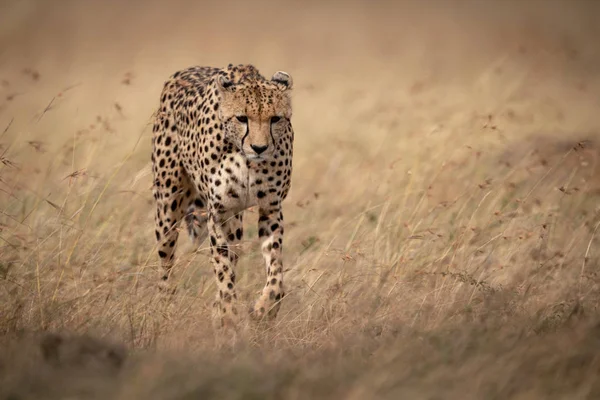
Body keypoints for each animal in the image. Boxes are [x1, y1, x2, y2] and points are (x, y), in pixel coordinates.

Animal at [151, 64, 294, 326]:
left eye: (275, 119)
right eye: (242, 118)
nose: (259, 148)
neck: (247, 160)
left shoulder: (270, 208)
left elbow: (275, 269)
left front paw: (264, 309)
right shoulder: (218, 213)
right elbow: (223, 269)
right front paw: (228, 315)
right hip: (168, 206)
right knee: (166, 261)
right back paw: (165, 306)